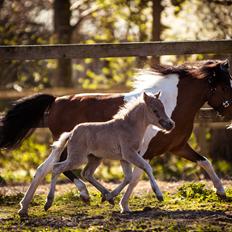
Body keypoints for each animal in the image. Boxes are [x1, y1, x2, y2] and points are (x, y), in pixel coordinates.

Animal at [0, 60, 232, 216]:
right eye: (225, 85)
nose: (230, 113)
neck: (173, 103)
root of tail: (56, 100)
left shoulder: (178, 147)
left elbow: (205, 161)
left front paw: (221, 192)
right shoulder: (144, 152)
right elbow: (137, 176)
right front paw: (124, 203)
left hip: (66, 147)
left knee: (44, 169)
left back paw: (25, 207)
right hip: (70, 148)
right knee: (59, 169)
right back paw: (82, 195)